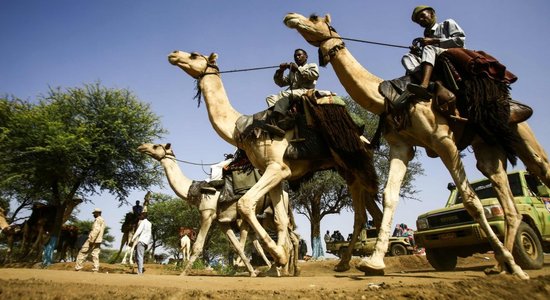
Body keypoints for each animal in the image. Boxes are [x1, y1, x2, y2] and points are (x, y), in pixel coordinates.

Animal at [138, 143, 302, 276]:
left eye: (155, 146)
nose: (142, 146)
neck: (195, 190)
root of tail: (286, 193)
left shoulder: (207, 214)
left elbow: (198, 246)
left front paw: (183, 273)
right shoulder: (222, 221)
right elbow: (237, 246)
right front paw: (251, 272)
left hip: (271, 213)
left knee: (286, 237)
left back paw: (281, 269)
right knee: (290, 238)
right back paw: (284, 269)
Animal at [168, 49, 384, 272]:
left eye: (194, 55)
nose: (174, 54)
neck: (242, 127)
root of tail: (363, 138)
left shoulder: (276, 168)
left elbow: (245, 203)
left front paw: (279, 257)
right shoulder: (276, 173)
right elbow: (280, 219)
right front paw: (280, 262)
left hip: (353, 163)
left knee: (366, 212)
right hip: (347, 169)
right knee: (366, 214)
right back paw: (345, 263)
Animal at [284, 11, 550, 278]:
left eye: (314, 17)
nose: (290, 16)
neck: (389, 98)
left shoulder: (443, 140)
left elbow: (470, 199)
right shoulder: (401, 146)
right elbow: (389, 196)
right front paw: (373, 263)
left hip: (518, 131)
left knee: (540, 167)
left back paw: (512, 264)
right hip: (487, 146)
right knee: (506, 197)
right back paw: (501, 266)